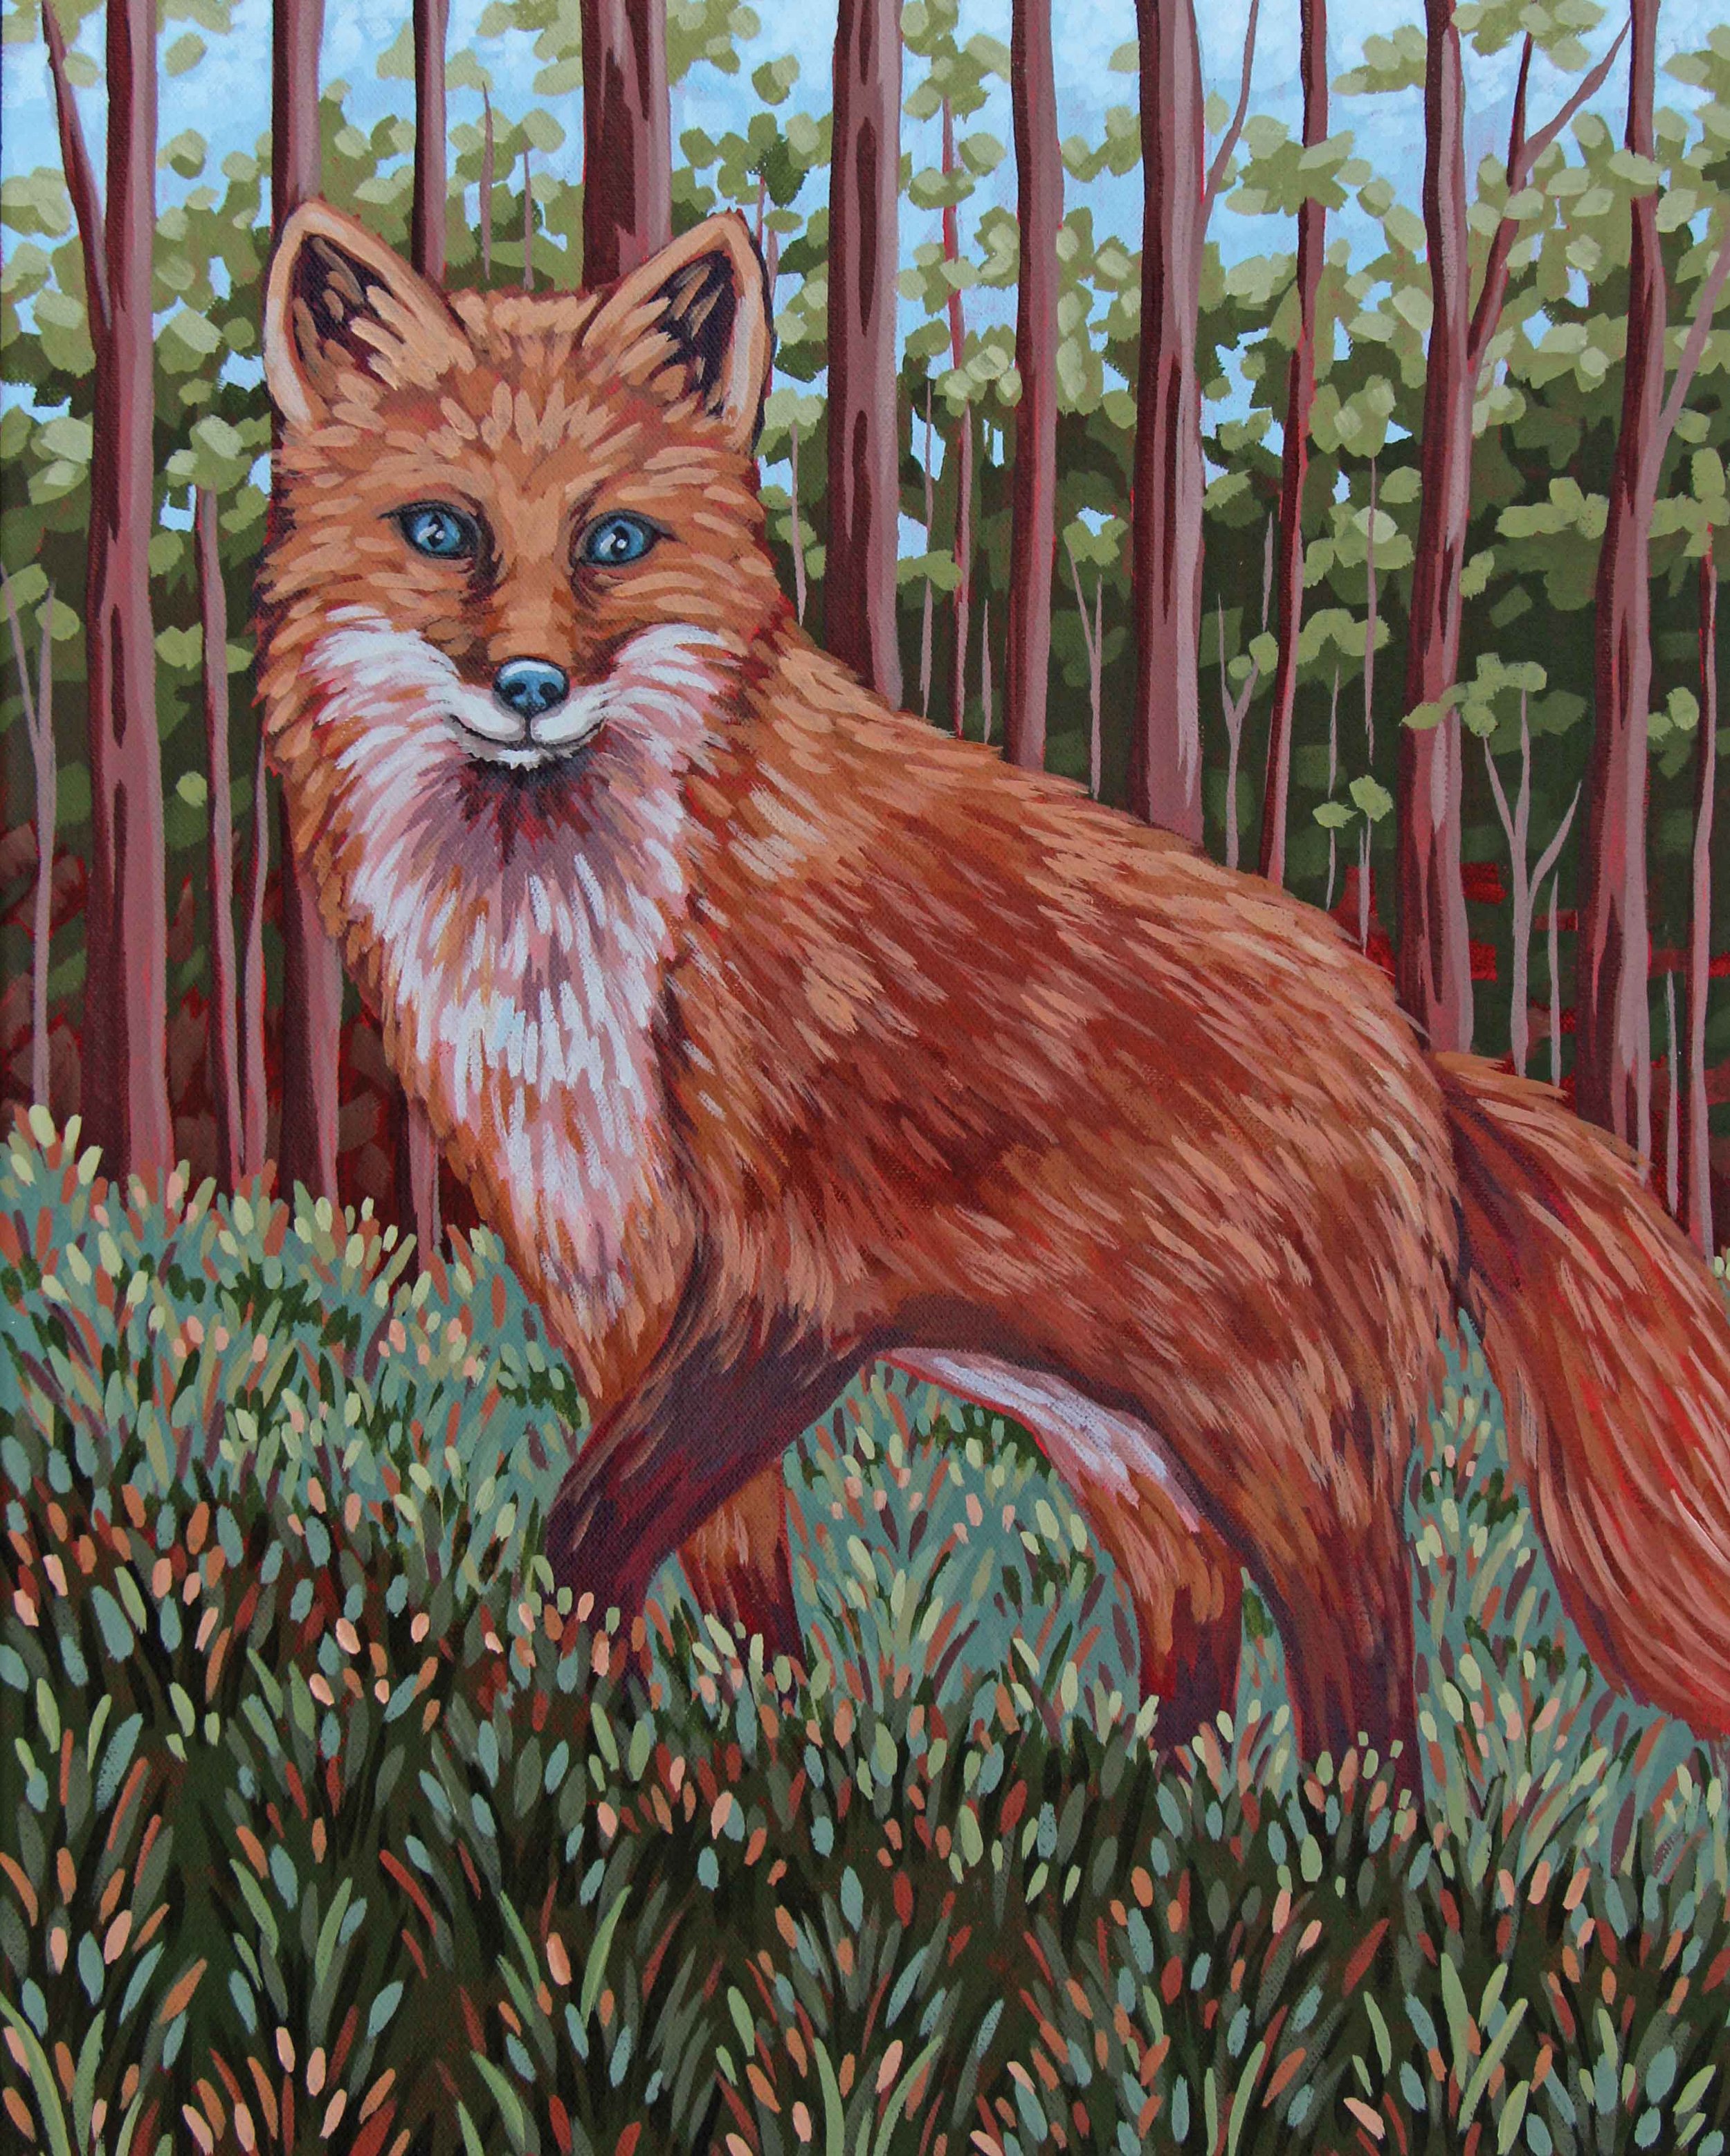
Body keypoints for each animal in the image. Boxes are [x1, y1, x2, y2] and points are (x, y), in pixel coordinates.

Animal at [257, 198, 1730, 1786]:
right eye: (442, 530)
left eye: (613, 541)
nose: (530, 685)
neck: (575, 951)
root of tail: (1423, 1052)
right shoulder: (613, 1282)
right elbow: (721, 1580)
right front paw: (695, 1745)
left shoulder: (786, 1282)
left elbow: (589, 1527)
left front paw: (579, 1723)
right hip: (1125, 1444)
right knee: (1197, 1634)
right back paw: (1156, 1806)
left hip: (1287, 1453)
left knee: (1367, 1692)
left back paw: (1332, 1840)